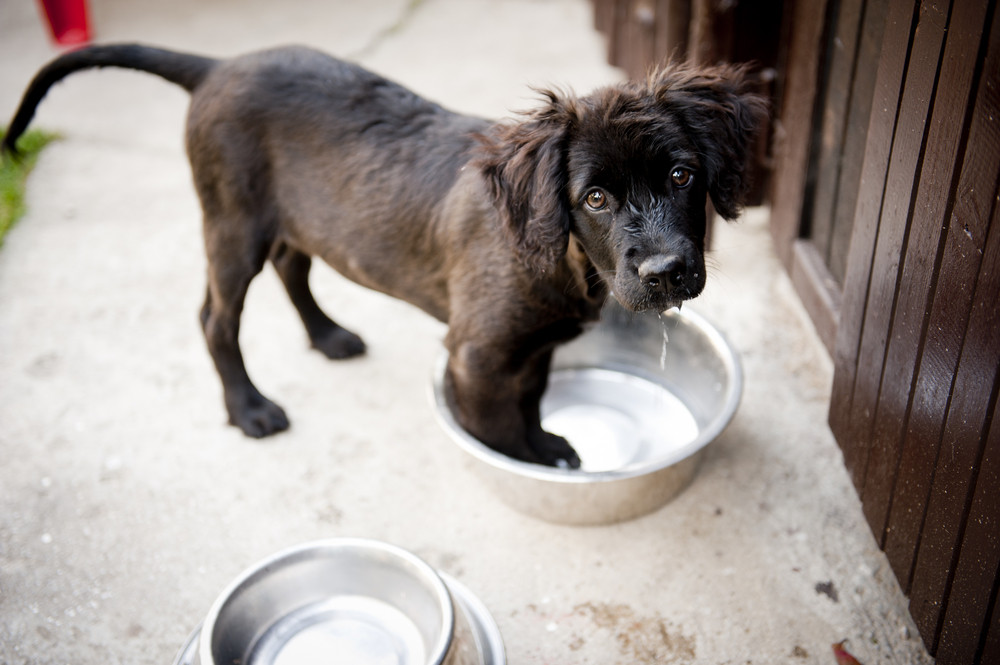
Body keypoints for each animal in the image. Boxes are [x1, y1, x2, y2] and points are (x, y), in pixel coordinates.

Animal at [3, 44, 760, 466]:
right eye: (596, 199)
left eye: (683, 176)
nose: (667, 273)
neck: (565, 258)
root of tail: (219, 66)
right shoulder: (478, 353)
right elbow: (497, 428)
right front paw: (526, 463)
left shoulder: (533, 345)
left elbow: (530, 399)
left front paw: (545, 443)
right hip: (232, 224)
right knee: (216, 318)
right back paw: (250, 409)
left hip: (298, 219)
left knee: (294, 268)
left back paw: (328, 335)